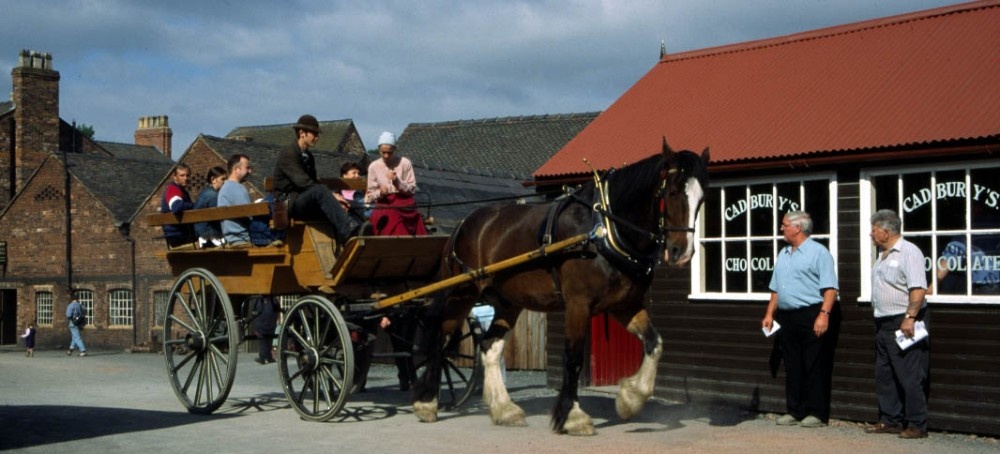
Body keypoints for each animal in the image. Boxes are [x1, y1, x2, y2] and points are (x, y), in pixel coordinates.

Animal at [412, 138, 710, 435]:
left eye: (702, 198)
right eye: (672, 192)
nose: (682, 252)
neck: (603, 230)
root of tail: (465, 223)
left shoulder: (625, 304)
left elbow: (654, 343)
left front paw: (629, 399)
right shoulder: (578, 304)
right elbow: (574, 358)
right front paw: (573, 416)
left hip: (508, 303)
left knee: (489, 347)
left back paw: (504, 409)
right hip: (462, 294)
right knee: (441, 340)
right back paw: (426, 403)